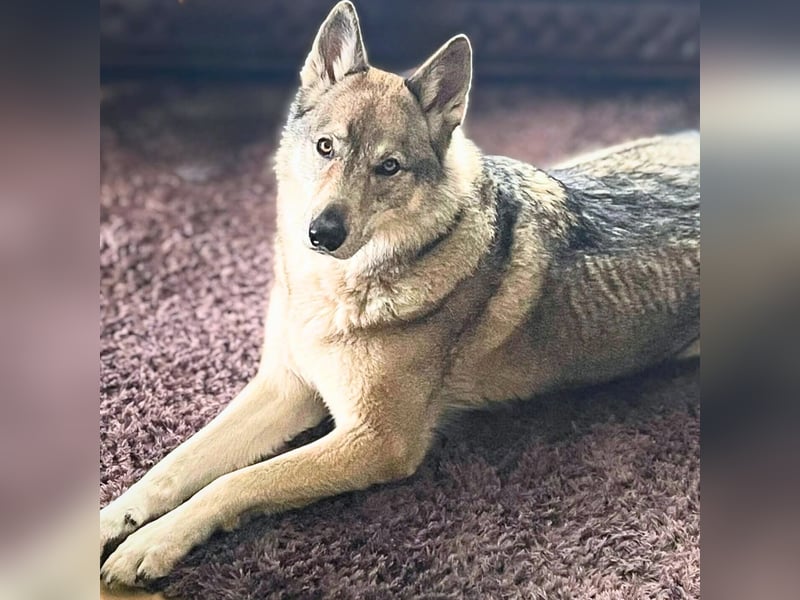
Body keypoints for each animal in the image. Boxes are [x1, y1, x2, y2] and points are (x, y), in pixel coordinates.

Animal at [100, 1, 699, 588]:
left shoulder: (375, 440)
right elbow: (176, 463)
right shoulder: (285, 386)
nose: (321, 233)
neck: (334, 289)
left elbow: (235, 483)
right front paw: (113, 517)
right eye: (326, 148)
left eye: (388, 167)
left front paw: (152, 543)